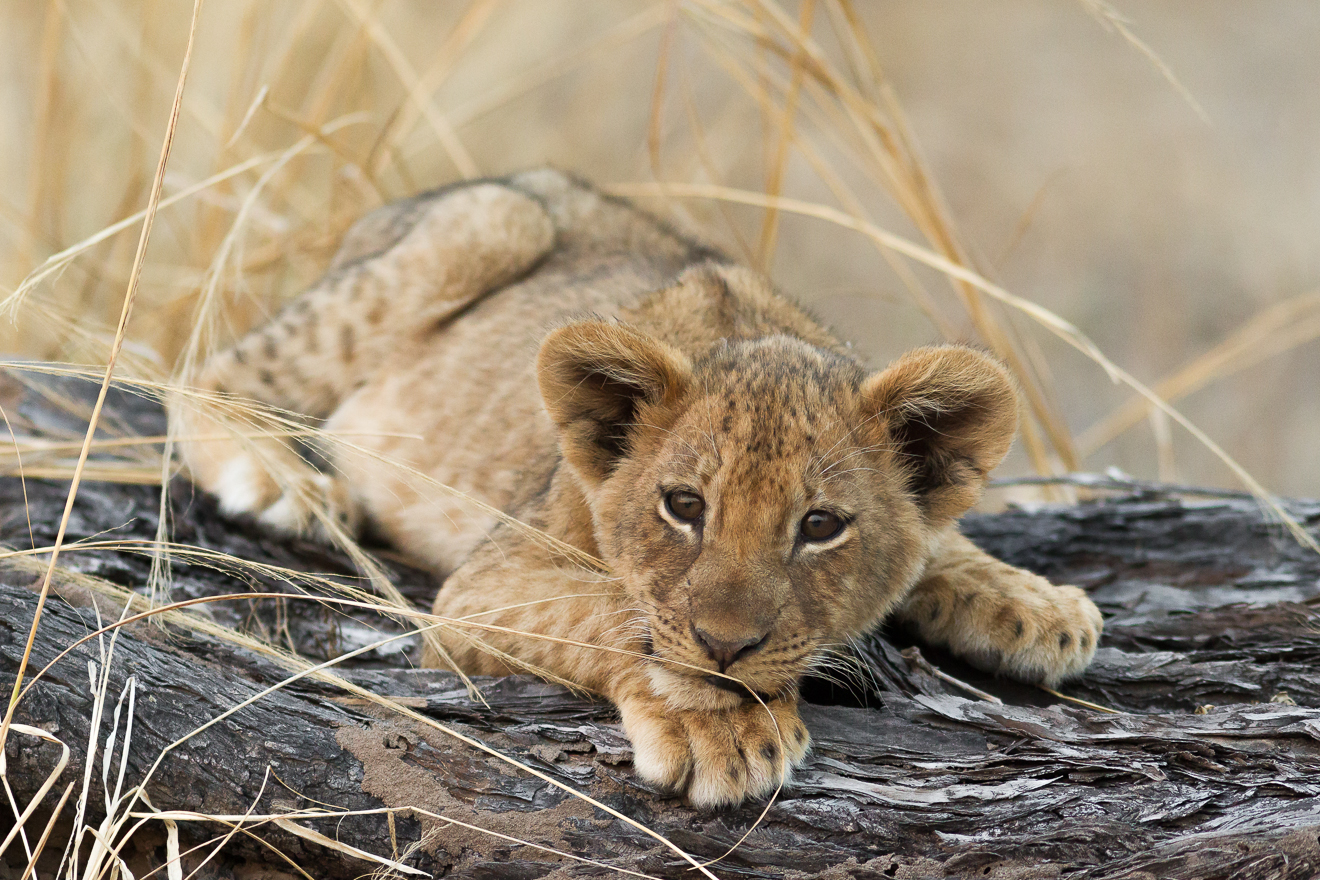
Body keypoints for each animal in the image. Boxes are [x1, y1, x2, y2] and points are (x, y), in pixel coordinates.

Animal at [170, 169, 1103, 807]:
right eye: (683, 507)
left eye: (821, 526)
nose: (727, 646)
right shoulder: (478, 591)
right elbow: (612, 608)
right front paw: (715, 724)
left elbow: (944, 541)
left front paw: (1041, 607)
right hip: (489, 223)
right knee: (205, 366)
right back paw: (278, 477)